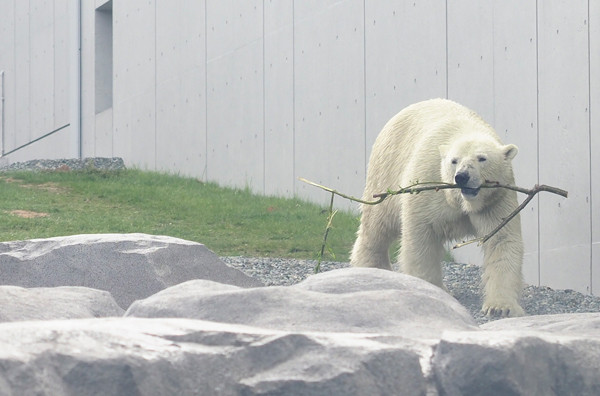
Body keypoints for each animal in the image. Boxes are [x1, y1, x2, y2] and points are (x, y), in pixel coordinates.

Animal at [352, 99, 524, 318]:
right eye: (454, 161)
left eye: (482, 158)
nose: (462, 177)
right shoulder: (428, 182)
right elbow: (421, 237)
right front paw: (432, 290)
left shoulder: (496, 200)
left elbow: (502, 240)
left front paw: (501, 307)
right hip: (387, 167)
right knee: (378, 221)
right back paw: (372, 267)